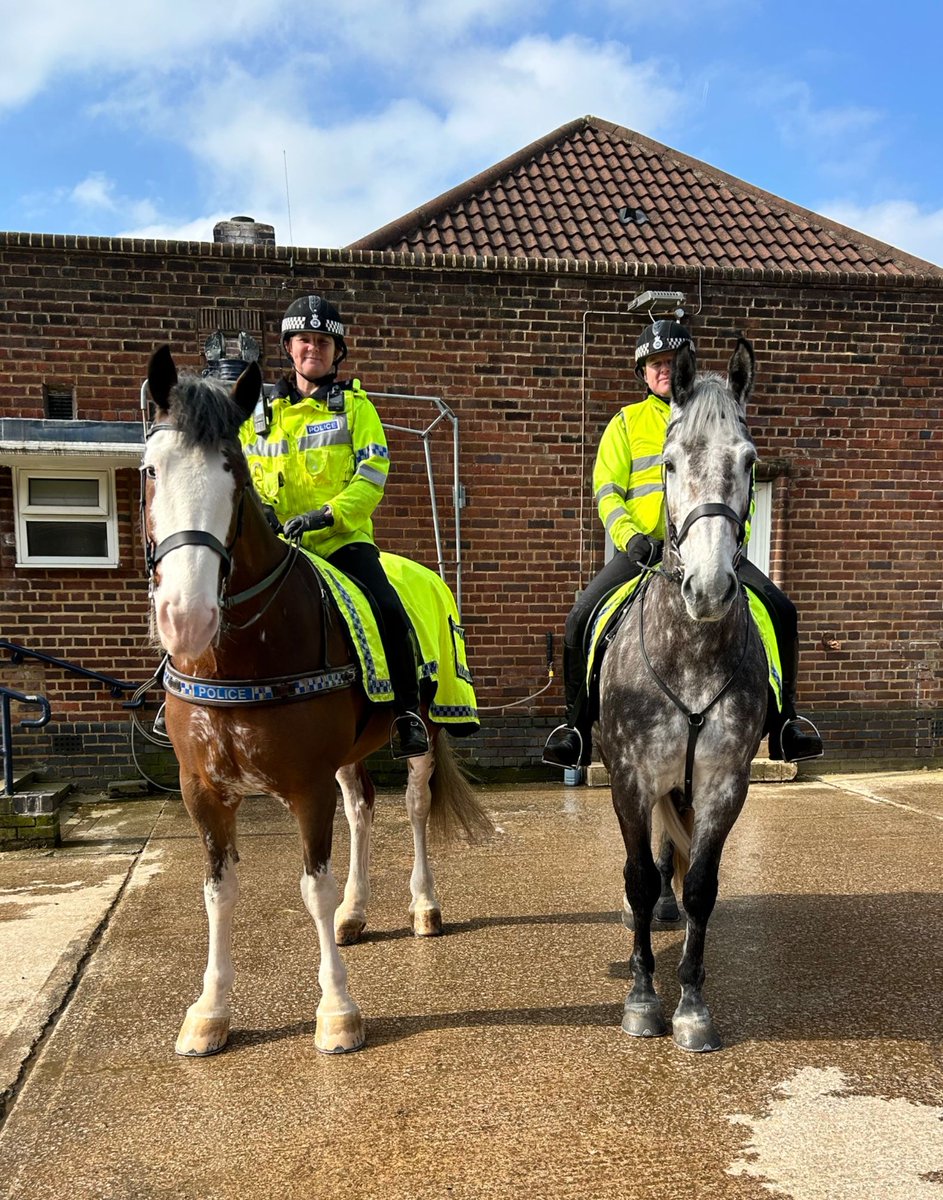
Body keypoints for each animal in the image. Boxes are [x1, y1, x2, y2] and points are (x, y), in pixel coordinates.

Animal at [145, 345, 491, 1051]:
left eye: (233, 475)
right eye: (149, 471)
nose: (185, 617)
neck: (241, 655)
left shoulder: (306, 787)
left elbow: (314, 889)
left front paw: (336, 1008)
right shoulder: (203, 792)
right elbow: (219, 892)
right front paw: (210, 1010)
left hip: (427, 732)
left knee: (413, 808)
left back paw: (423, 906)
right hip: (350, 755)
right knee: (362, 809)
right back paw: (357, 915)